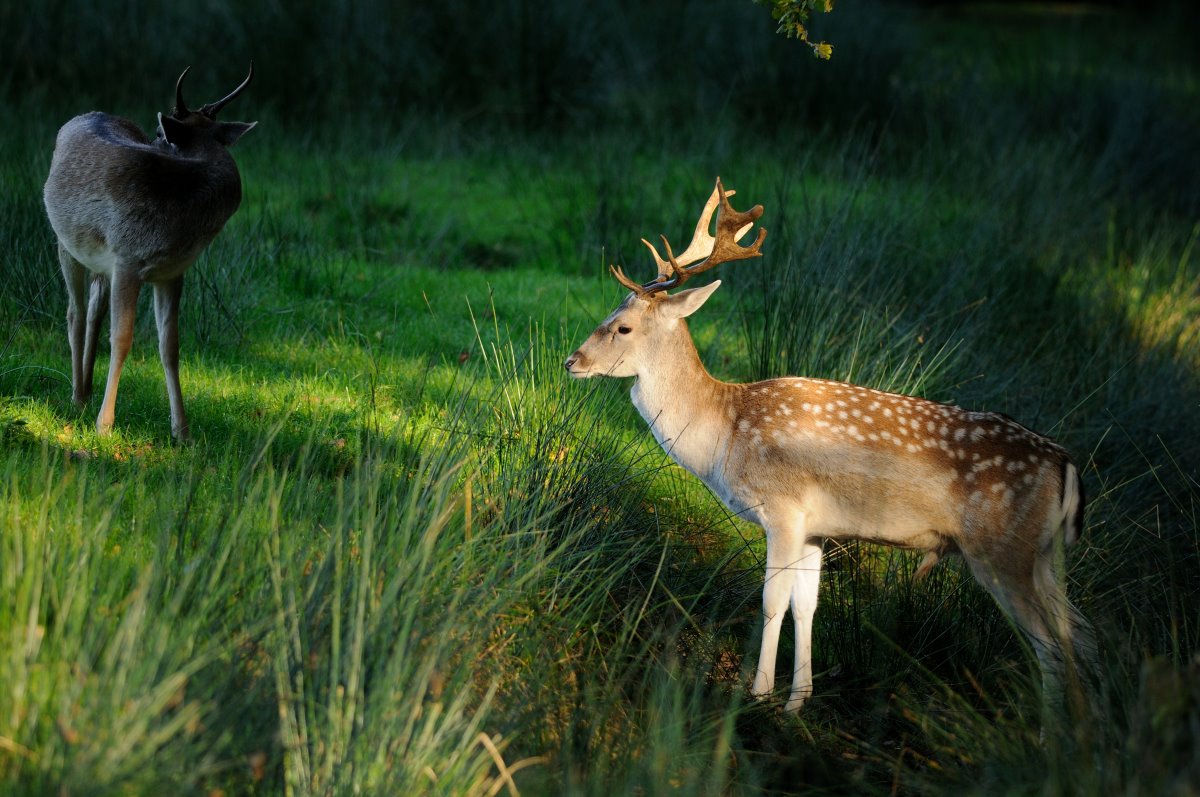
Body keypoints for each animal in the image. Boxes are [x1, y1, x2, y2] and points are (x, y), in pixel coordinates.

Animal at [43, 63, 256, 441]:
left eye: (158, 132)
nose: (154, 140)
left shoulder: (173, 271)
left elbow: (170, 346)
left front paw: (182, 430)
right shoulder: (127, 257)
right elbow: (122, 338)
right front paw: (104, 425)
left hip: (100, 264)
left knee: (95, 309)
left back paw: (87, 389)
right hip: (65, 242)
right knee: (74, 312)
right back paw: (77, 397)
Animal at [565, 178, 1092, 719]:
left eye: (623, 327)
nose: (571, 361)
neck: (725, 434)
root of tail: (1065, 465)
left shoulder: (783, 509)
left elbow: (772, 600)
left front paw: (757, 695)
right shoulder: (817, 527)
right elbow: (807, 605)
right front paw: (798, 700)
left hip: (1002, 550)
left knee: (1052, 647)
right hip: (1045, 555)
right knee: (1080, 636)